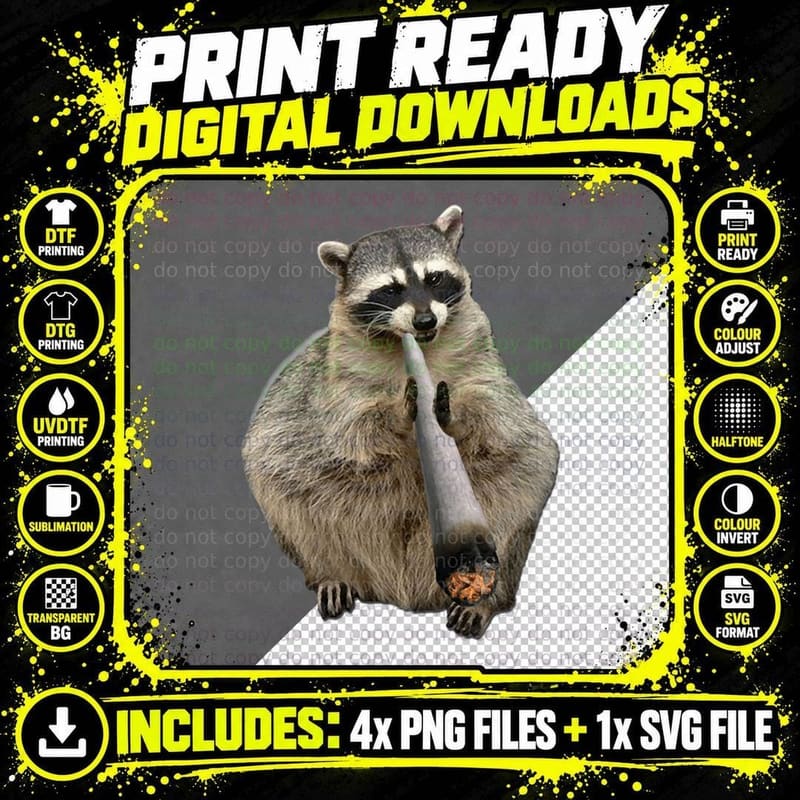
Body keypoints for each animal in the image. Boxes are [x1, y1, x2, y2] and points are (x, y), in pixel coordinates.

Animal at [242, 206, 558, 638]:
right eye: (390, 289)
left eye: (434, 278)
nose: (425, 320)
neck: (420, 346)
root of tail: (404, 593)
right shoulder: (338, 378)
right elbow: (351, 432)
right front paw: (394, 412)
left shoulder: (482, 360)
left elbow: (499, 419)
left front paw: (458, 415)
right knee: (284, 489)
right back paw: (330, 572)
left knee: (525, 482)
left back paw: (489, 598)